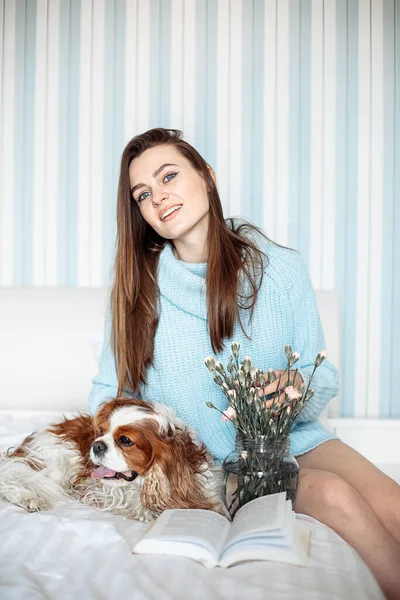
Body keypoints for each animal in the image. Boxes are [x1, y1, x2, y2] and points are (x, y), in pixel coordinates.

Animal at [0, 398, 228, 520]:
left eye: (125, 440)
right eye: (100, 432)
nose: (96, 445)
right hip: (57, 462)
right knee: (10, 478)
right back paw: (30, 498)